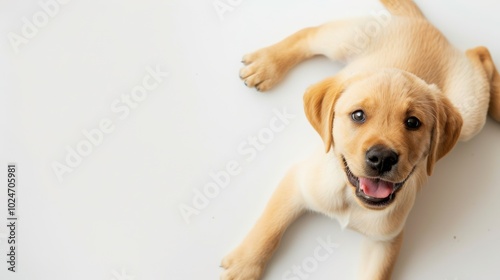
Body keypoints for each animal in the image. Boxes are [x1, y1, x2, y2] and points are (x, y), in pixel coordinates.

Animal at [223, 1, 500, 278]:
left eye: (413, 122)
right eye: (358, 115)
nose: (382, 158)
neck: (350, 198)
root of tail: (425, 24)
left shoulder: (385, 240)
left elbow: (376, 273)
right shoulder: (297, 183)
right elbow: (270, 227)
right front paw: (245, 264)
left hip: (470, 113)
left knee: (479, 53)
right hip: (347, 40)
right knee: (311, 33)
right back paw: (266, 64)